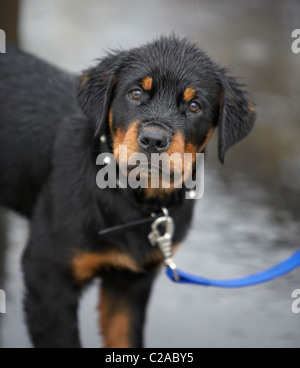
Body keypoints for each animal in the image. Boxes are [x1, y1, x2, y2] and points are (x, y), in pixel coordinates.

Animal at [0, 35, 255, 348]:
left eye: (195, 106)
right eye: (135, 93)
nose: (153, 140)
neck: (136, 200)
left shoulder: (130, 284)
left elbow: (126, 337)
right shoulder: (47, 276)